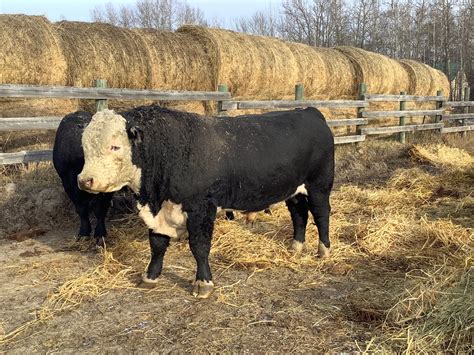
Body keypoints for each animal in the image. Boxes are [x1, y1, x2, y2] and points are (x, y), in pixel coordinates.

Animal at [78, 106, 336, 300]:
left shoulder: (201, 209)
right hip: (294, 191)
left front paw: (203, 283)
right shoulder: (159, 213)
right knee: (299, 214)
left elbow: (199, 247)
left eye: (115, 146)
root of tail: (310, 111)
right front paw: (150, 277)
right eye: (84, 146)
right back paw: (296, 247)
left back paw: (323, 250)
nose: (84, 180)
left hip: (319, 186)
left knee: (321, 214)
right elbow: (157, 245)